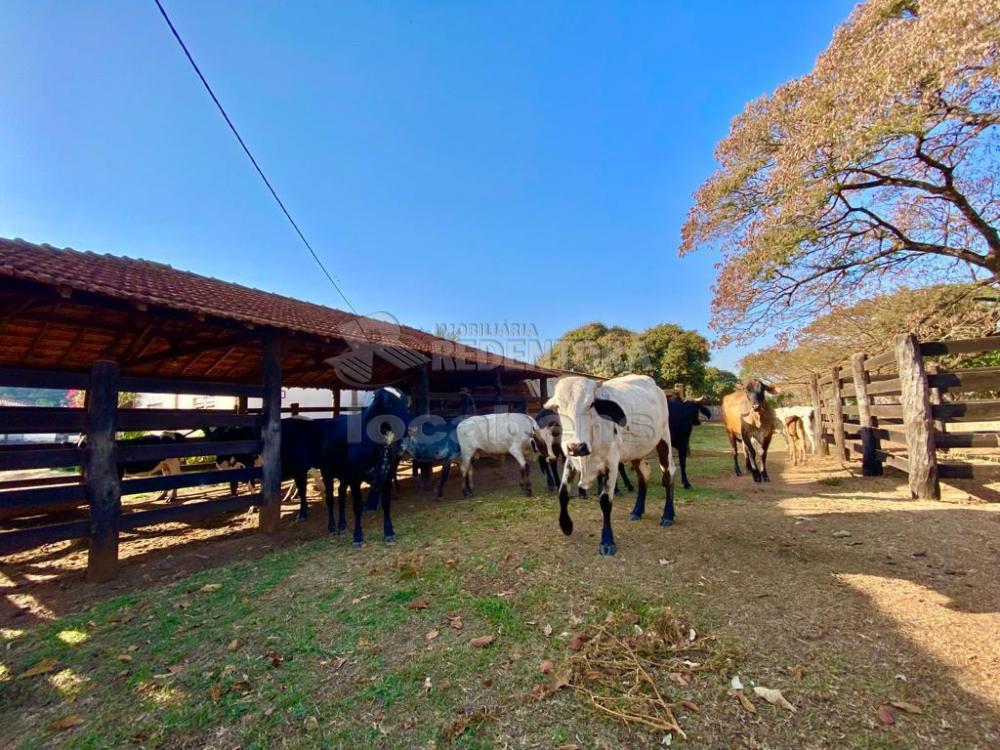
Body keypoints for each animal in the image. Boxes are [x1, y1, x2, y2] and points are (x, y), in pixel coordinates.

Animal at [544, 376, 676, 560]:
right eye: (557, 407)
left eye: (591, 404)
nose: (577, 447)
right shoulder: (570, 460)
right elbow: (562, 493)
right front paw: (566, 525)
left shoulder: (612, 463)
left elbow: (605, 502)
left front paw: (607, 541)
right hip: (635, 451)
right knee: (643, 474)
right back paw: (637, 511)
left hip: (664, 439)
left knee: (669, 473)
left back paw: (668, 515)